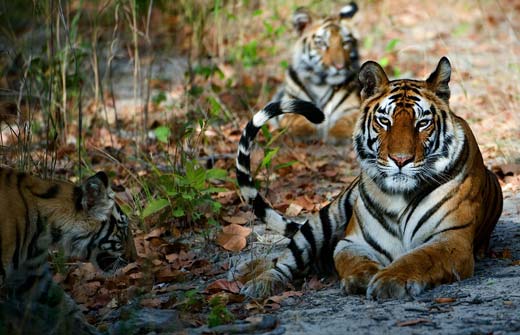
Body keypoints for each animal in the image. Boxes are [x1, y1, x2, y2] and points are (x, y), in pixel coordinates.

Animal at [236, 56, 504, 300]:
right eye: (384, 121)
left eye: (422, 123)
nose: (400, 160)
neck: (400, 197)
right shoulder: (353, 242)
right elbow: (355, 261)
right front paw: (363, 278)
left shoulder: (451, 239)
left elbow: (417, 258)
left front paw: (389, 280)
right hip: (324, 219)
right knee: (283, 260)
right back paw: (254, 281)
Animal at [272, 2, 362, 144]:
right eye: (322, 43)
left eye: (345, 43)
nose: (340, 66)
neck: (320, 84)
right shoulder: (289, 104)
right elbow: (295, 119)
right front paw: (307, 132)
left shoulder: (352, 108)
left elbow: (348, 121)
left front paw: (337, 134)